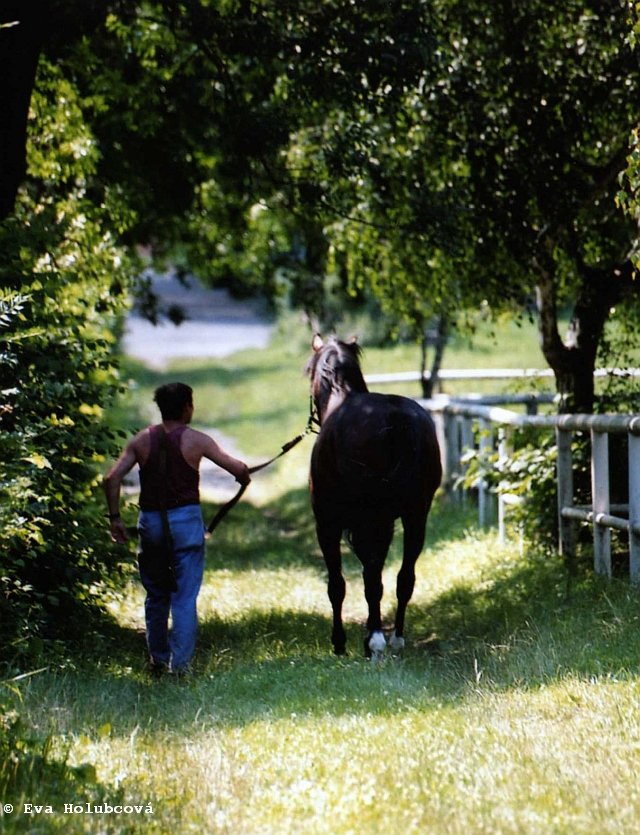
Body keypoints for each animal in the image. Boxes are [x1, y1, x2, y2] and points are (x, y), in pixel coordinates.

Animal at [306, 334, 440, 660]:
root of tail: (397, 418)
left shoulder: (327, 524)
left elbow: (338, 585)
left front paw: (341, 642)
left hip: (374, 518)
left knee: (372, 579)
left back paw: (377, 640)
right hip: (415, 516)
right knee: (404, 578)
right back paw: (396, 638)